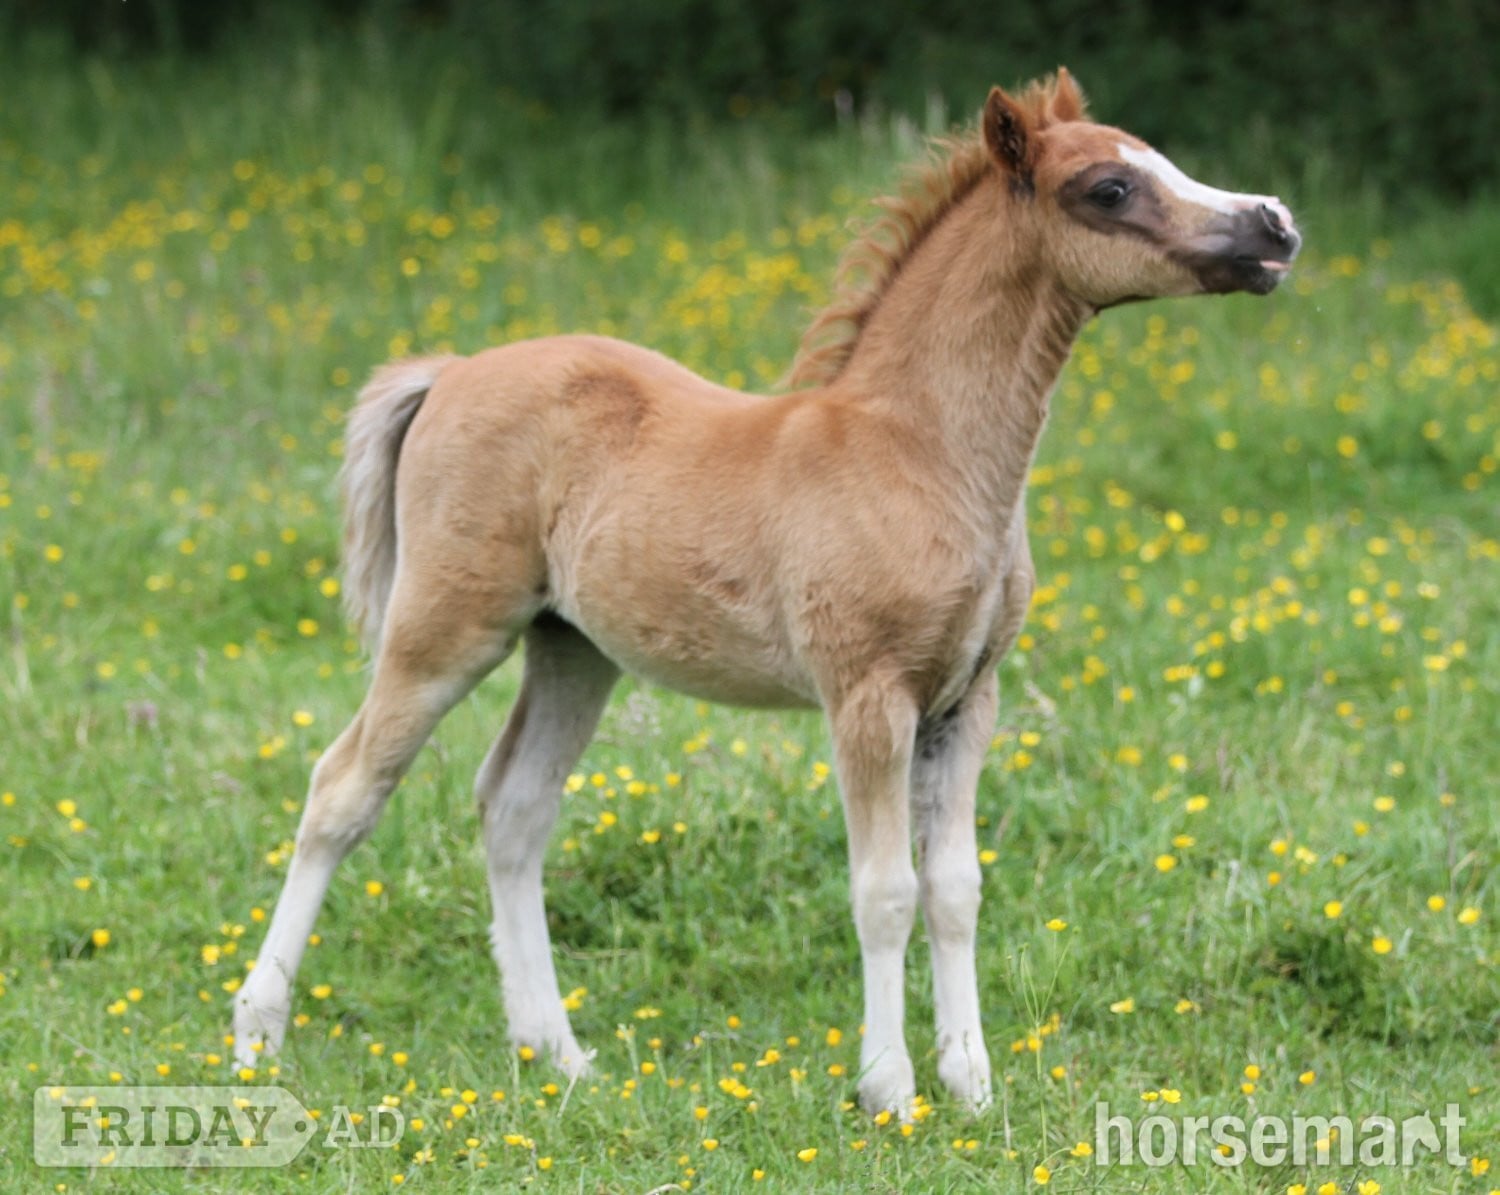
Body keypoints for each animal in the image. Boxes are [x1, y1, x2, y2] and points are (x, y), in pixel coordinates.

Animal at [233, 69, 1300, 1117]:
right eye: (1109, 188)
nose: (1276, 225)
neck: (920, 454)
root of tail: (449, 373)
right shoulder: (868, 695)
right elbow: (885, 891)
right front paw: (889, 1089)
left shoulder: (969, 698)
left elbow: (956, 886)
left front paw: (973, 1085)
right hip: (447, 626)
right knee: (343, 789)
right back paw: (257, 1039)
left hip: (572, 645)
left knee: (515, 806)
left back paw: (559, 1053)